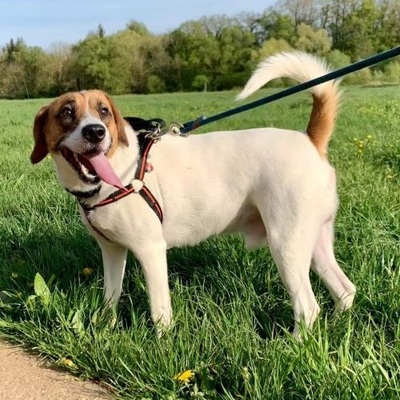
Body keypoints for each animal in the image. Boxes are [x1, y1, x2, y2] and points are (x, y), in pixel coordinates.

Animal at [31, 51, 356, 336]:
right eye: (67, 112)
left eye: (104, 111)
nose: (96, 132)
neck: (117, 174)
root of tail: (309, 140)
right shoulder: (111, 250)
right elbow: (111, 297)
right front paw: (104, 330)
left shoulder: (151, 250)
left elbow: (159, 311)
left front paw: (162, 346)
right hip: (314, 242)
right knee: (345, 290)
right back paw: (337, 327)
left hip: (286, 244)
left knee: (308, 307)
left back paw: (293, 345)